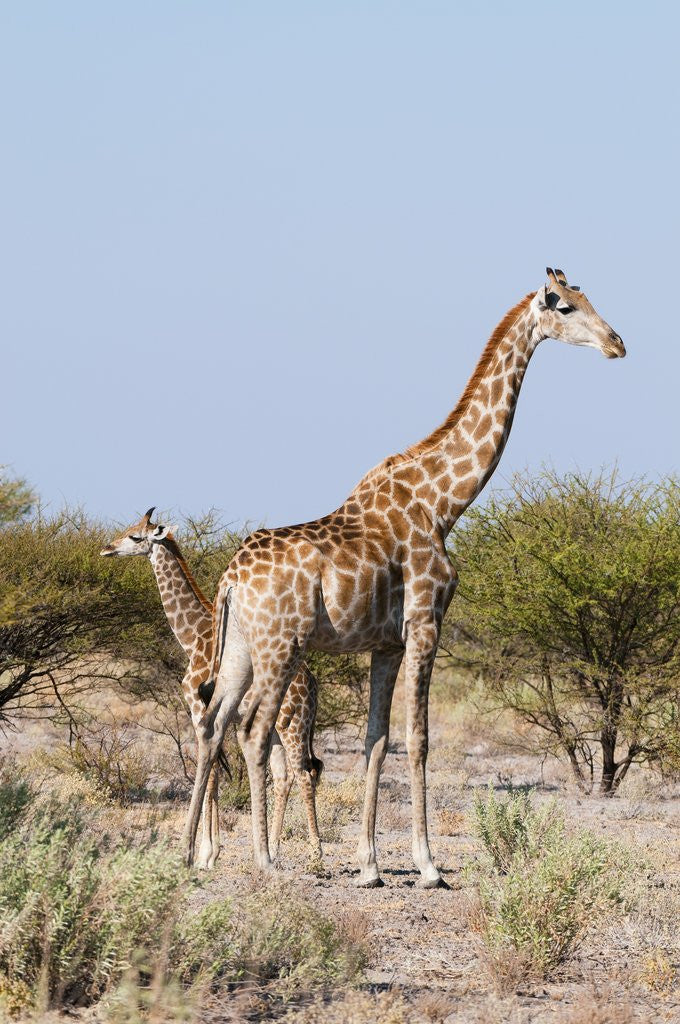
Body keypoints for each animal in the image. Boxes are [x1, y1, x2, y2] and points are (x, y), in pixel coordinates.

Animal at [101, 509, 323, 868]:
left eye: (135, 536)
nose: (107, 548)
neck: (192, 637)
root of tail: (313, 685)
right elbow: (217, 769)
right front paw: (211, 850)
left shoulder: (197, 705)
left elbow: (212, 772)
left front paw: (206, 854)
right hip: (279, 727)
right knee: (285, 775)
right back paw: (274, 848)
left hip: (293, 725)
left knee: (305, 773)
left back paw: (316, 854)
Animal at [184, 268, 625, 886]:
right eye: (564, 305)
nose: (617, 343)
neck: (444, 504)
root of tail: (228, 580)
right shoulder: (425, 624)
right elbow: (417, 739)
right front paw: (427, 864)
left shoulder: (385, 644)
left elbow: (375, 740)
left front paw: (369, 865)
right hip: (282, 644)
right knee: (253, 730)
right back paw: (267, 861)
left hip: (242, 649)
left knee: (213, 723)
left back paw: (189, 856)